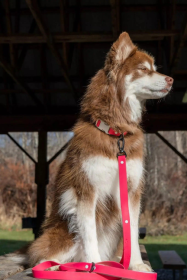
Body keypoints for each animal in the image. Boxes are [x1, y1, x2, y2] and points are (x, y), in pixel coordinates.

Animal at [12, 32, 172, 272]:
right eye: (143, 69)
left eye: (154, 68)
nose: (171, 79)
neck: (115, 133)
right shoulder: (86, 190)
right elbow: (89, 234)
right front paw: (95, 266)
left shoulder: (132, 190)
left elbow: (133, 232)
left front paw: (135, 265)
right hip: (65, 232)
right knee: (41, 256)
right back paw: (54, 266)